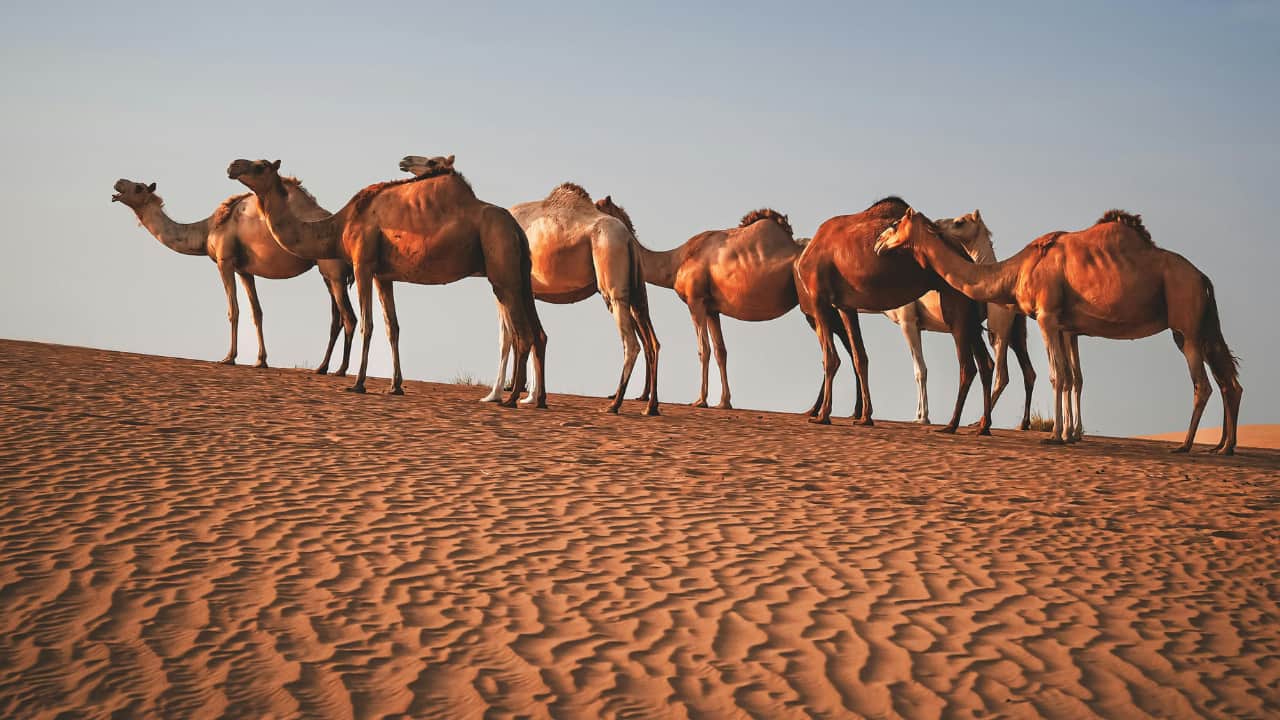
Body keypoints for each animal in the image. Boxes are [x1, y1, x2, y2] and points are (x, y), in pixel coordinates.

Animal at [111, 178, 356, 373]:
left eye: (138, 187)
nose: (118, 183)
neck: (207, 230)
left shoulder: (225, 261)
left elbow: (234, 310)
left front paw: (229, 358)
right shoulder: (244, 270)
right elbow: (256, 312)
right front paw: (261, 361)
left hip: (333, 272)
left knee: (349, 317)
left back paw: (341, 370)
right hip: (327, 274)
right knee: (336, 318)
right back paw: (322, 367)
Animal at [228, 159, 546, 406]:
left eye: (260, 165)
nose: (232, 165)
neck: (339, 225)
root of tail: (515, 227)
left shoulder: (363, 264)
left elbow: (367, 324)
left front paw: (358, 383)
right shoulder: (384, 276)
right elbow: (393, 328)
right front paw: (395, 386)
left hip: (502, 268)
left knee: (522, 333)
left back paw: (511, 398)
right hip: (519, 273)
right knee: (538, 332)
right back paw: (538, 400)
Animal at [400, 156, 659, 415]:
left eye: (432, 163)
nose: (405, 161)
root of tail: (628, 238)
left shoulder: (506, 287)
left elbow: (507, 338)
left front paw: (495, 395)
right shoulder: (529, 291)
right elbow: (535, 335)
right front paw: (532, 397)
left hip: (612, 283)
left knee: (631, 343)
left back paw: (614, 404)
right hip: (635, 292)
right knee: (651, 342)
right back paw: (650, 406)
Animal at [794, 196, 994, 432]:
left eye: (960, 222)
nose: (878, 242)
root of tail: (969, 261)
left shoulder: (820, 298)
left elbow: (831, 359)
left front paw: (823, 415)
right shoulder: (846, 305)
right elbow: (860, 358)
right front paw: (865, 417)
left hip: (956, 308)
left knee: (967, 366)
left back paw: (952, 425)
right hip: (970, 318)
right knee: (985, 364)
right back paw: (983, 427)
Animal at [874, 207, 1242, 453]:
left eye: (894, 225)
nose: (877, 242)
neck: (1015, 270)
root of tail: (1203, 278)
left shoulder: (1048, 316)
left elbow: (1057, 376)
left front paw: (1054, 435)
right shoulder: (1065, 324)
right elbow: (1069, 377)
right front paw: (1066, 434)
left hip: (1186, 320)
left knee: (1203, 384)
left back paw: (1186, 445)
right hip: (1198, 326)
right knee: (1228, 380)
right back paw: (1223, 446)